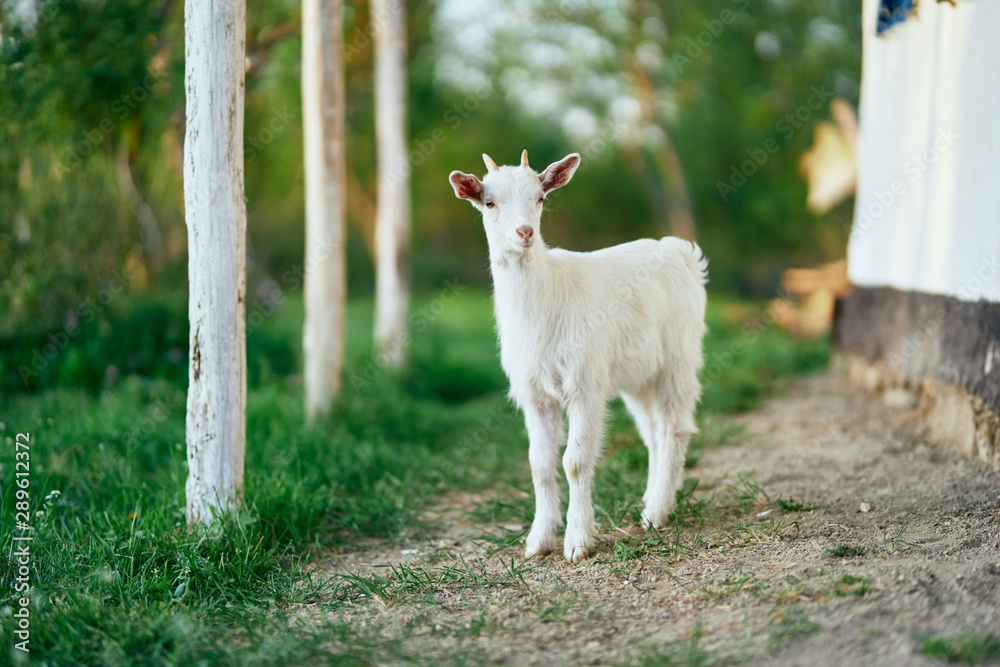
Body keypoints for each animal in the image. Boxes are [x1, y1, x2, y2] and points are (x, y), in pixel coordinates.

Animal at [449, 150, 708, 562]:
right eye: (489, 202)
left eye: (540, 197)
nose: (525, 233)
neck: (547, 297)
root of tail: (679, 251)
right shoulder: (535, 392)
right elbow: (539, 463)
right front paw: (538, 540)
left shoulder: (584, 383)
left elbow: (575, 460)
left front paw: (578, 541)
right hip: (637, 374)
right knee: (652, 432)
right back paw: (651, 501)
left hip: (678, 357)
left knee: (674, 428)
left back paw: (656, 513)